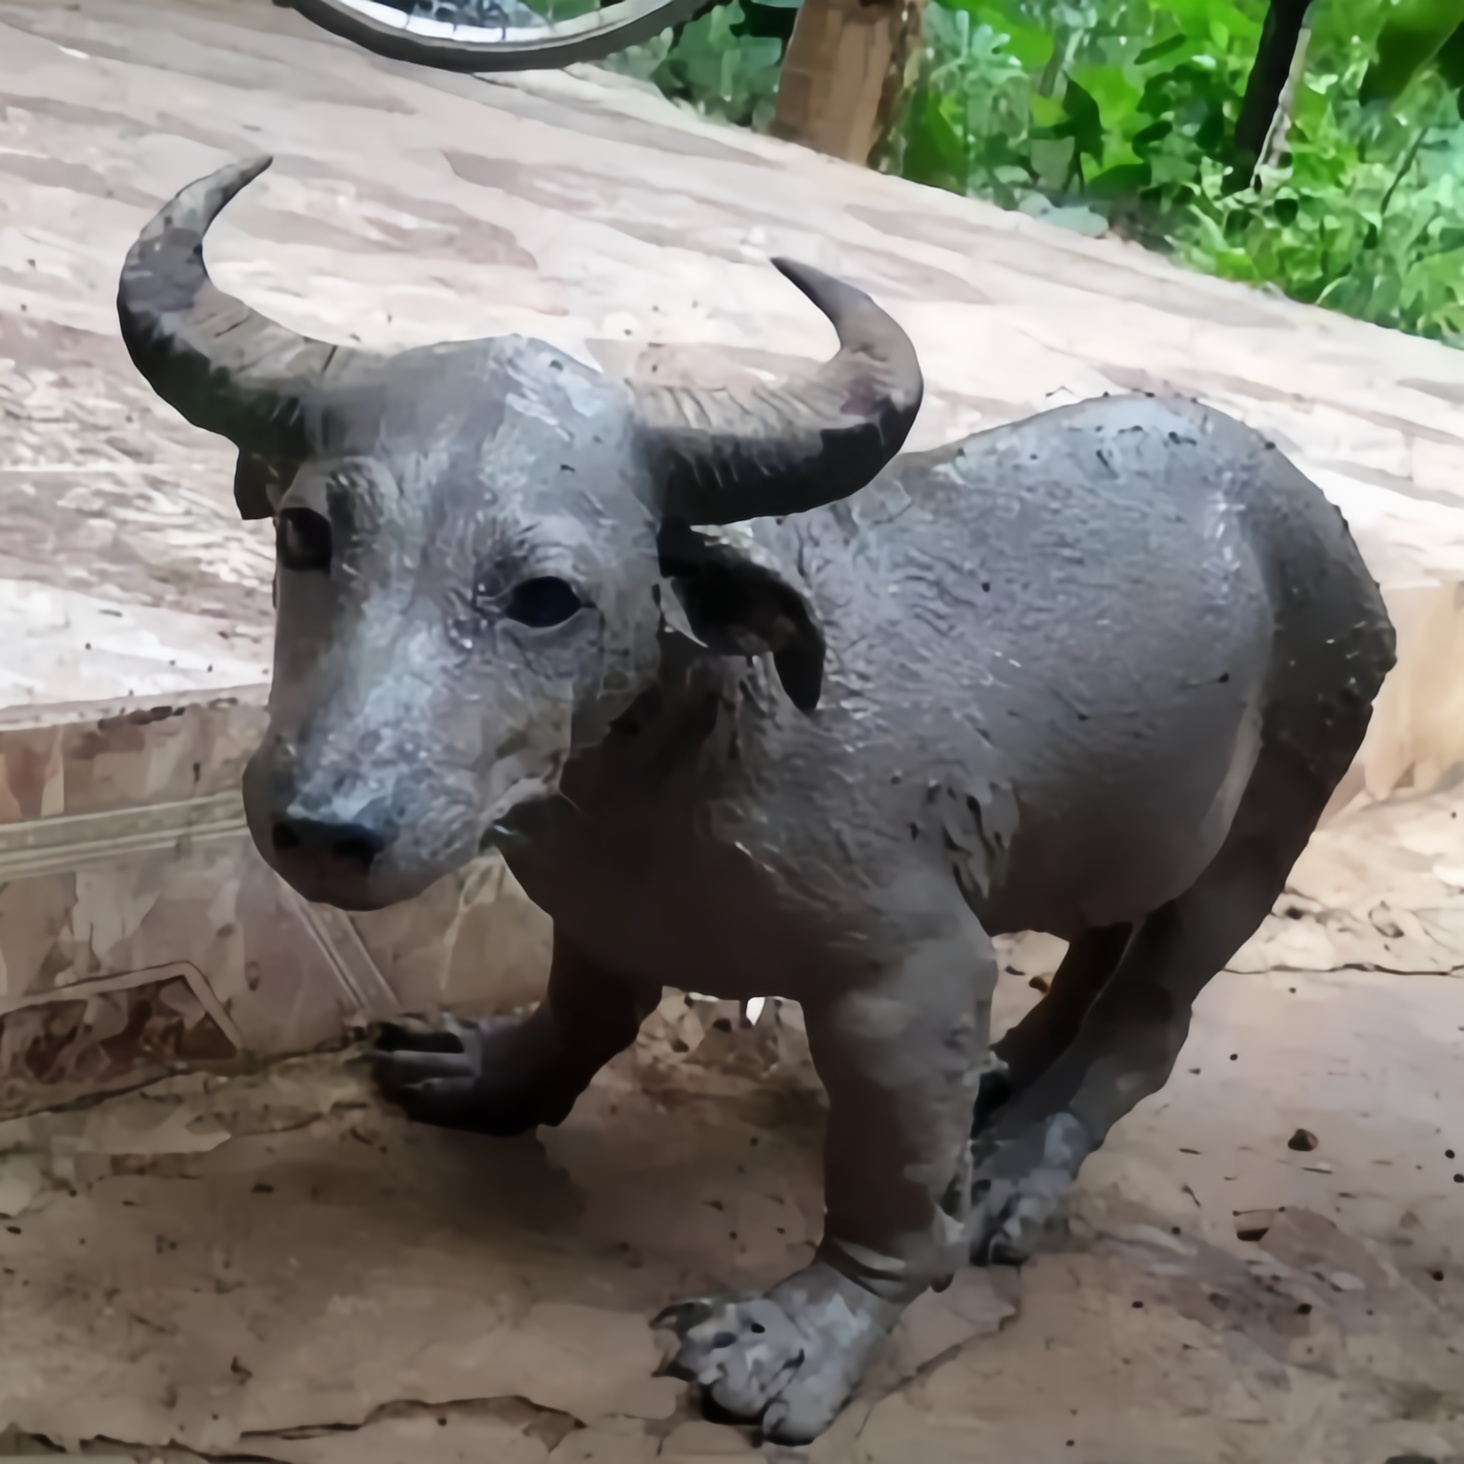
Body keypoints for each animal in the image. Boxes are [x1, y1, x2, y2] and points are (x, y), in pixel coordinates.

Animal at [117, 157, 1393, 1440]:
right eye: (307, 533)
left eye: (545, 597)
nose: (327, 827)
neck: (683, 753)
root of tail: (1327, 534)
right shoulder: (599, 914)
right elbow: (584, 1012)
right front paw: (487, 1073)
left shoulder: (911, 978)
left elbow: (890, 1192)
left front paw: (803, 1336)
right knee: (1096, 950)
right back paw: (1009, 1082)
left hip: (1266, 831)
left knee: (1149, 1019)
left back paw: (1021, 1167)